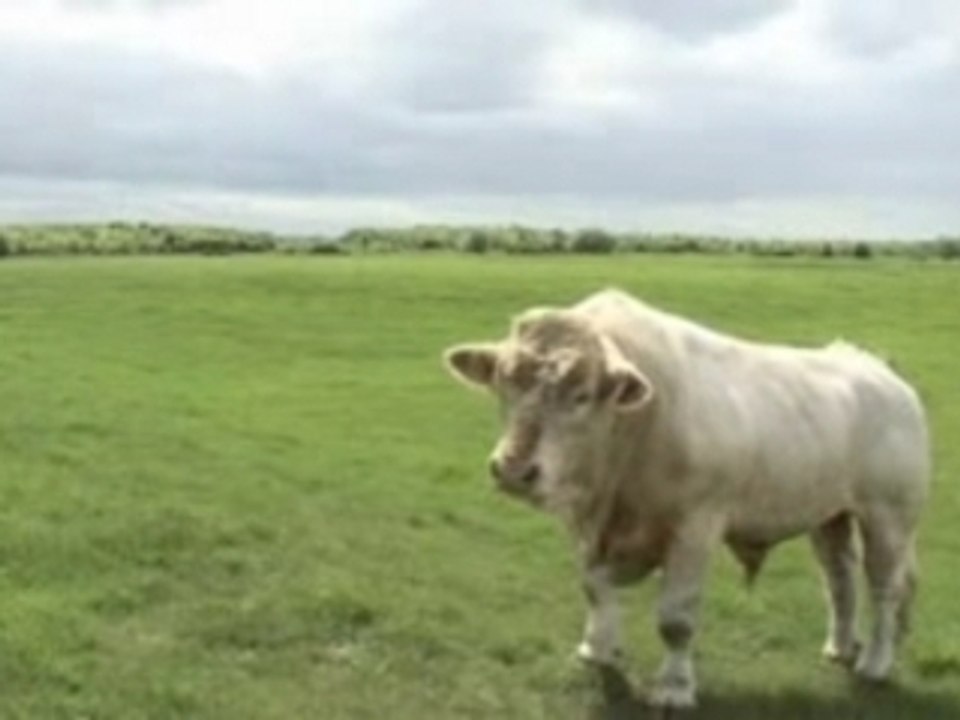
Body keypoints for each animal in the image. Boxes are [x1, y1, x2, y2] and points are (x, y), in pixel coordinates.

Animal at [442, 288, 930, 710]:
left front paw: (674, 688)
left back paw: (875, 663)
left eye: (581, 395)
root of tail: (878, 370)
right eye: (504, 385)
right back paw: (840, 646)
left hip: (888, 516)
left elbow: (676, 619)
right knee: (840, 578)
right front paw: (596, 649)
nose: (513, 470)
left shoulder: (694, 529)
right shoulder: (587, 527)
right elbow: (594, 589)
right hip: (829, 514)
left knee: (885, 587)